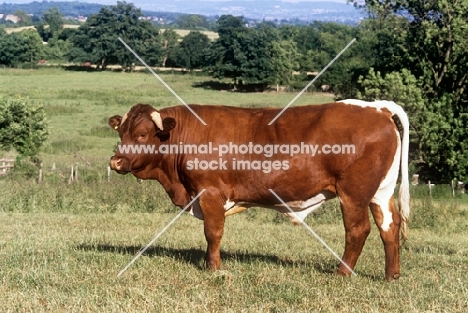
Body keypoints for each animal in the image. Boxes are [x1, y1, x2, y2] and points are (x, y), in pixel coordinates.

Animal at [109, 100, 410, 280]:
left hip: (354, 193)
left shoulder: (210, 193)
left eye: (142, 135)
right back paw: (391, 275)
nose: (116, 161)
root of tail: (375, 107)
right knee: (389, 227)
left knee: (358, 230)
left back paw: (342, 273)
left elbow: (213, 232)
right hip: (380, 193)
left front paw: (213, 269)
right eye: (121, 133)